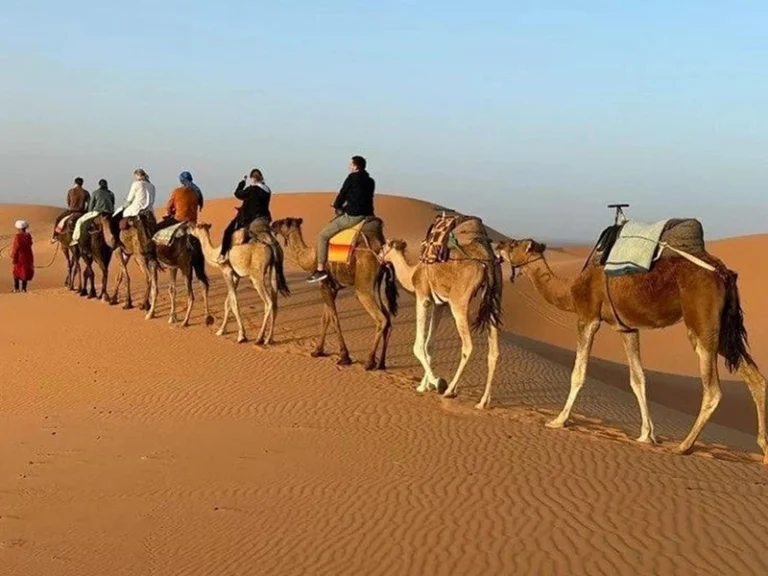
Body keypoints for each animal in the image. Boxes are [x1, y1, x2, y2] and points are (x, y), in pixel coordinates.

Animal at [270, 217, 398, 370]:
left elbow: (334, 319)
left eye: (284, 222)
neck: (310, 258)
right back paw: (381, 363)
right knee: (388, 321)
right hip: (379, 287)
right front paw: (317, 351)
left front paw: (344, 357)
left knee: (381, 319)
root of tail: (381, 257)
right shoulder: (333, 288)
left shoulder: (323, 285)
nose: (272, 224)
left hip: (363, 286)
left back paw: (370, 361)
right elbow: (325, 318)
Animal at [380, 238, 503, 409]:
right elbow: (429, 344)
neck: (413, 272)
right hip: (494, 300)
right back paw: (483, 402)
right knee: (493, 351)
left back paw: (450, 390)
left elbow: (419, 345)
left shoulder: (423, 297)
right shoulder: (439, 304)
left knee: (468, 346)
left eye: (383, 246)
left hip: (459, 302)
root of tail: (486, 259)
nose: (378, 256)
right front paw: (423, 386)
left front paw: (436, 383)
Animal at [494, 238, 768, 463]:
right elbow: (638, 379)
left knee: (713, 390)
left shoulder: (587, 318)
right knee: (756, 379)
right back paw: (764, 451)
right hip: (723, 332)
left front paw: (557, 421)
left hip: (702, 323)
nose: (497, 246)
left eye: (513, 244)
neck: (571, 291)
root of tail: (724, 274)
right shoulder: (627, 328)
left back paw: (684, 446)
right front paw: (646, 435)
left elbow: (578, 374)